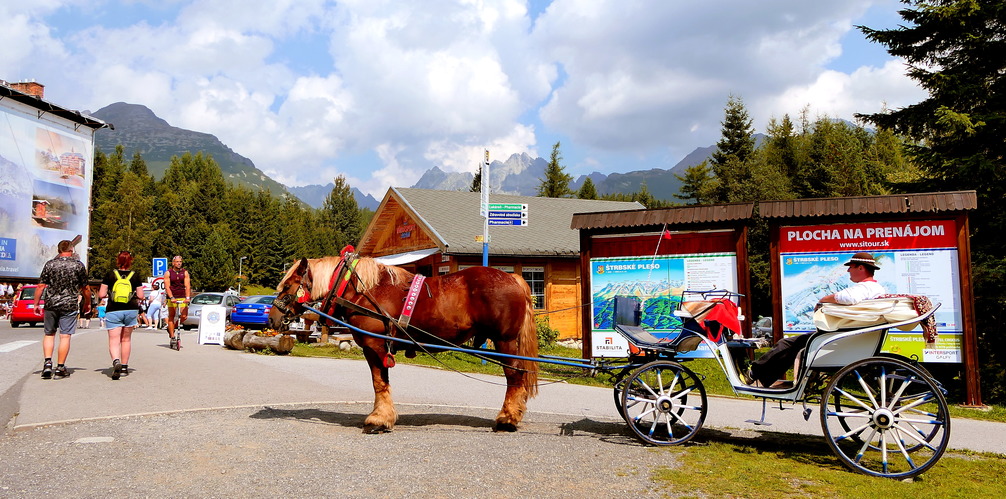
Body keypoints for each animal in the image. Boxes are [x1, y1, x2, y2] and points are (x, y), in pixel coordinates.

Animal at [265, 257, 535, 432]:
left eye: (287, 286)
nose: (271, 318)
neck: (365, 291)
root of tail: (512, 277)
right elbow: (380, 382)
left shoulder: (374, 345)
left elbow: (379, 382)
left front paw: (379, 420)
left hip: (505, 341)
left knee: (514, 376)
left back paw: (507, 419)